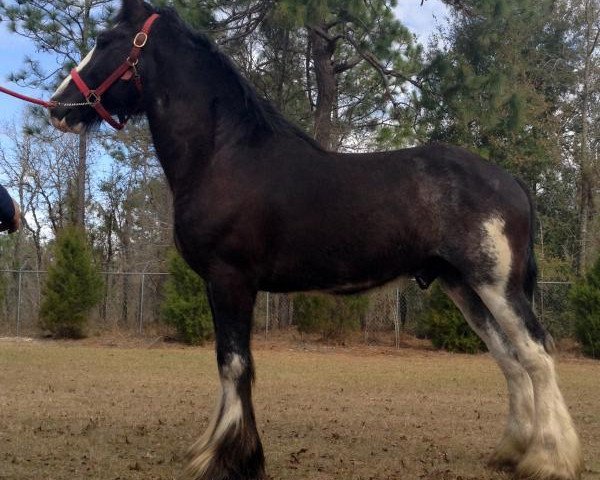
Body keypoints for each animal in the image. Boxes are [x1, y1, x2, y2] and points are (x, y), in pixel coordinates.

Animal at [49, 0, 584, 480]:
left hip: (496, 285)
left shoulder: (230, 279)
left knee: (536, 354)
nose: (58, 107)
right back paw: (512, 453)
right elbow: (229, 363)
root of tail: (511, 181)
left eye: (105, 41)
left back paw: (549, 460)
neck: (224, 154)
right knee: (509, 360)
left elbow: (234, 364)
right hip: (463, 287)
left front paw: (230, 459)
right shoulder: (221, 285)